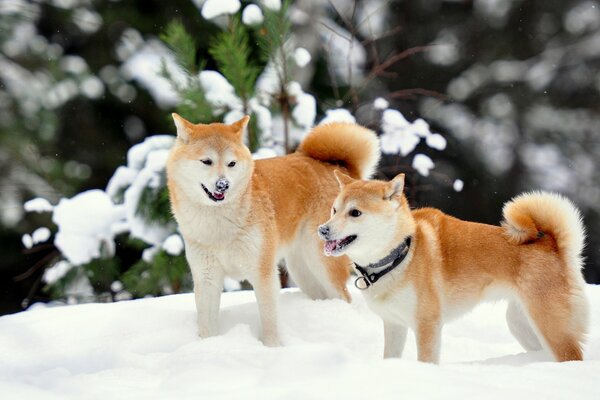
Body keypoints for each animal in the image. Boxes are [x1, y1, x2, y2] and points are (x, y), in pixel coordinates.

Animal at [166, 114, 378, 346]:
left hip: (322, 264)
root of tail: (339, 169)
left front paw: (272, 348)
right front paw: (207, 345)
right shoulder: (207, 277)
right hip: (302, 271)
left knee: (344, 297)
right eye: (206, 161)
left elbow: (269, 320)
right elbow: (206, 325)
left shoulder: (263, 273)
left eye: (231, 163)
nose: (223, 185)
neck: (219, 225)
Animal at [322, 170, 588, 364]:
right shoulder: (394, 324)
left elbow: (426, 360)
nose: (323, 230)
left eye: (355, 213)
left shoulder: (427, 324)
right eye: (334, 210)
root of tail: (553, 245)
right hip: (522, 325)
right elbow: (390, 356)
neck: (401, 254)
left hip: (551, 326)